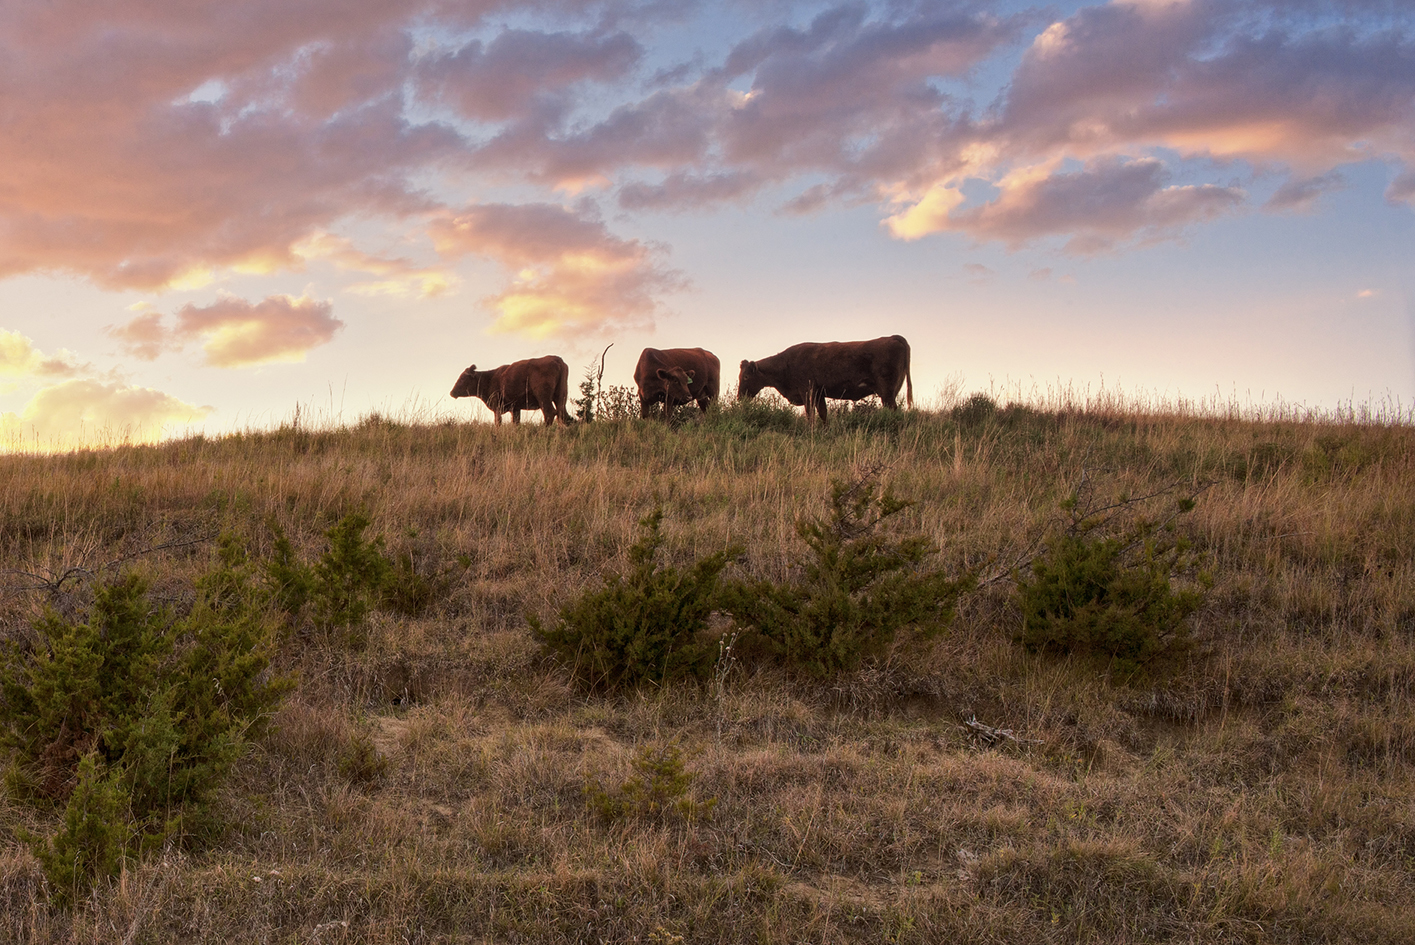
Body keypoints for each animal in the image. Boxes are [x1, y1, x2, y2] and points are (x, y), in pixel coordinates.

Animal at [735, 331, 911, 421]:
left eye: (746, 377)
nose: (739, 397)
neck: (785, 364)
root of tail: (892, 337)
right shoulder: (819, 394)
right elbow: (823, 414)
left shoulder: (807, 391)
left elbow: (810, 415)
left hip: (887, 392)